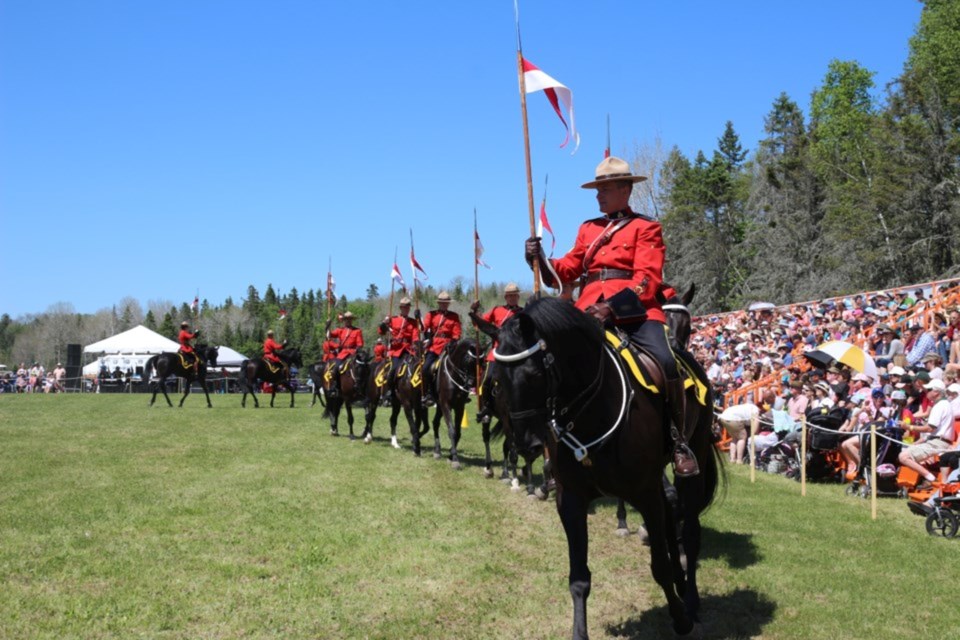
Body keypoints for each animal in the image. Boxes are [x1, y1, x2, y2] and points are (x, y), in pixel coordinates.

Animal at [428, 340, 480, 470]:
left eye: (481, 361)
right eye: (468, 360)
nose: (472, 383)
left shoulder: (459, 406)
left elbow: (458, 432)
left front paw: (451, 456)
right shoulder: (446, 405)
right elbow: (452, 431)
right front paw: (455, 459)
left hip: (440, 407)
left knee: (435, 423)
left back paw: (437, 451)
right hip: (441, 405)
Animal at [496, 298, 720, 640]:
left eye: (533, 373)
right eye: (497, 377)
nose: (525, 444)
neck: (593, 411)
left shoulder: (643, 492)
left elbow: (658, 566)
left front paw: (681, 620)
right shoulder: (571, 499)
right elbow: (578, 577)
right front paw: (579, 632)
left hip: (693, 458)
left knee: (690, 531)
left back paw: (691, 602)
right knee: (671, 517)